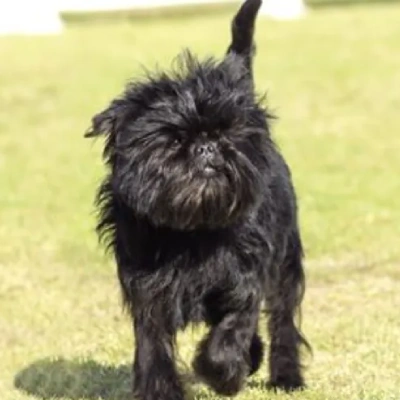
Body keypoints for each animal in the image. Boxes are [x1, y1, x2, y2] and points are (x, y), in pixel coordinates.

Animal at [85, 0, 310, 396]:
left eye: (226, 132)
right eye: (174, 139)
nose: (207, 146)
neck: (192, 230)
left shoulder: (245, 277)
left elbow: (233, 330)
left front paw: (222, 374)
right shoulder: (147, 290)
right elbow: (153, 346)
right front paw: (160, 392)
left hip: (285, 257)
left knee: (282, 316)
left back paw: (285, 376)